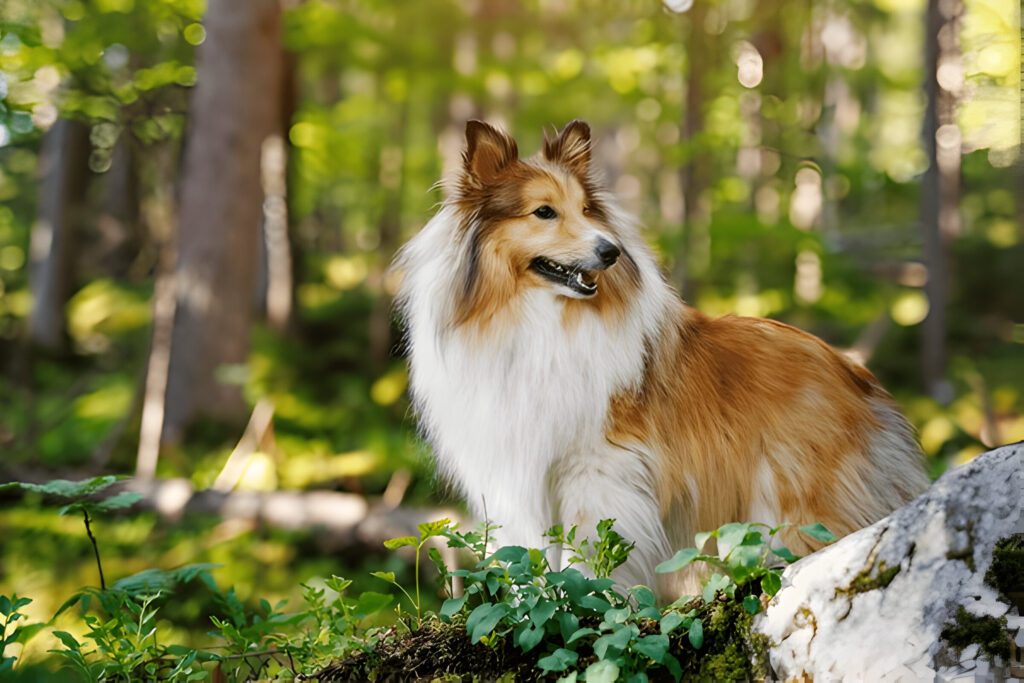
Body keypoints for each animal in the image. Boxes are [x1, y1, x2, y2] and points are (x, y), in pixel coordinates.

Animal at [395, 118, 933, 598]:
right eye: (543, 212)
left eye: (587, 209)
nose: (610, 251)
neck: (536, 321)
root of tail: (856, 373)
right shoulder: (523, 472)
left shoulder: (596, 468)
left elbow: (586, 554)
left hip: (795, 502)